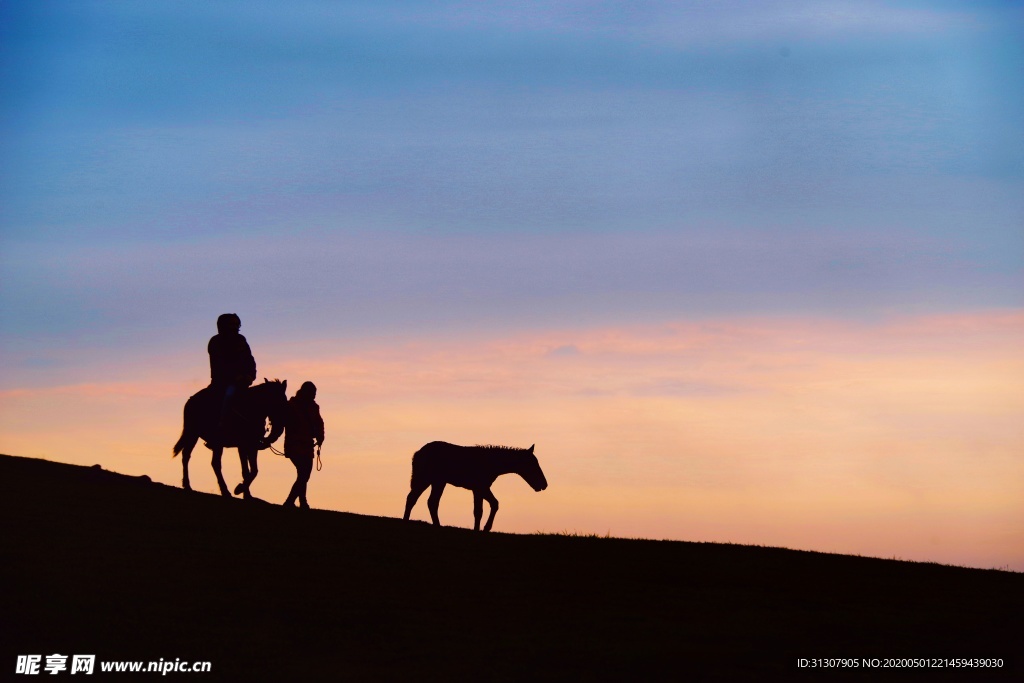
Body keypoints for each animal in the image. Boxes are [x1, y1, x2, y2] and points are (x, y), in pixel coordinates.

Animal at [399, 444, 548, 532]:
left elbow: (492, 504)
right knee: (415, 498)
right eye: (532, 464)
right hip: (425, 479)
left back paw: (434, 525)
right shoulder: (479, 488)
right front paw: (481, 529)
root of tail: (418, 453)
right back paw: (408, 522)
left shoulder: (481, 488)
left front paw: (484, 528)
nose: (543, 485)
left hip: (438, 482)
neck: (492, 463)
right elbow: (479, 510)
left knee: (429, 501)